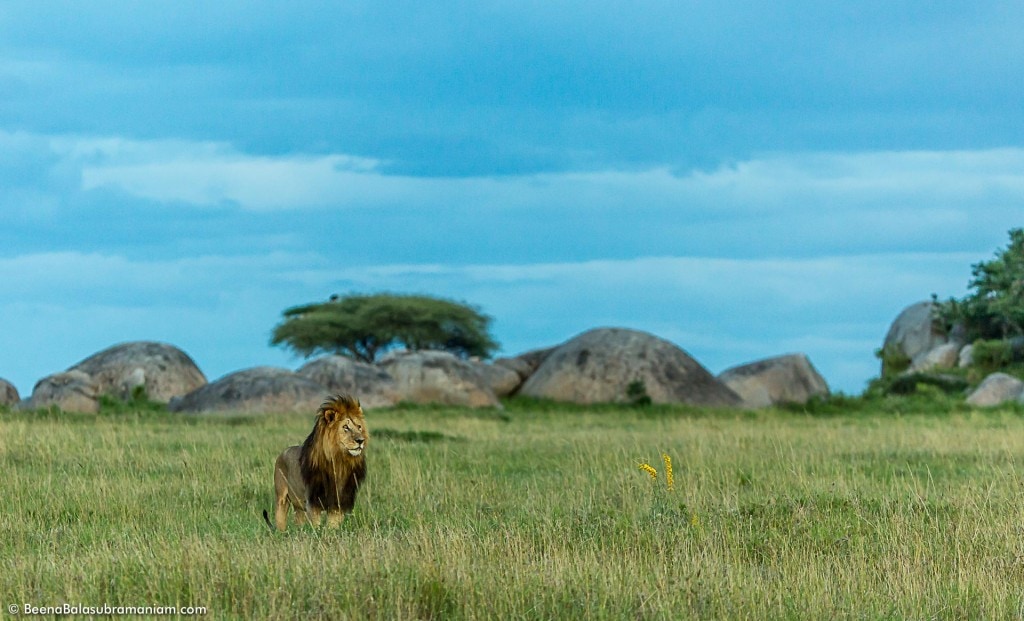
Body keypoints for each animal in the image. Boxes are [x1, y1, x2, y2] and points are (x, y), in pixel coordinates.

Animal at [262, 397, 370, 532]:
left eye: (359, 427)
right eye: (345, 427)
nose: (360, 440)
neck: (339, 462)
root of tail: (282, 453)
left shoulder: (338, 501)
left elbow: (332, 525)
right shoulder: (313, 501)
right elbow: (316, 525)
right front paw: (317, 533)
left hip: (299, 506)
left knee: (298, 520)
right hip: (281, 497)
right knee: (280, 518)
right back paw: (281, 533)